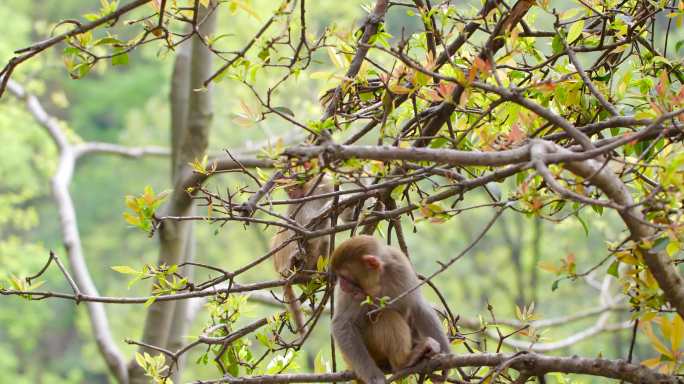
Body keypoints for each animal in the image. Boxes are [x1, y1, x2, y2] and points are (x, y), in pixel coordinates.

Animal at [272, 176, 336, 338]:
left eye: (293, 187)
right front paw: (326, 210)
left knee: (324, 240)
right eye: (288, 190)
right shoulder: (296, 206)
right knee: (289, 230)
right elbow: (303, 229)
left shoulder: (325, 185)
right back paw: (293, 262)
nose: (291, 194)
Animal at [330, 234, 452, 384]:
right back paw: (404, 362)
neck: (378, 280)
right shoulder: (351, 294)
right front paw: (374, 377)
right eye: (341, 277)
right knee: (387, 315)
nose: (341, 285)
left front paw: (445, 355)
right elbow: (342, 324)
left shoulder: (401, 266)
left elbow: (418, 307)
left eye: (344, 277)